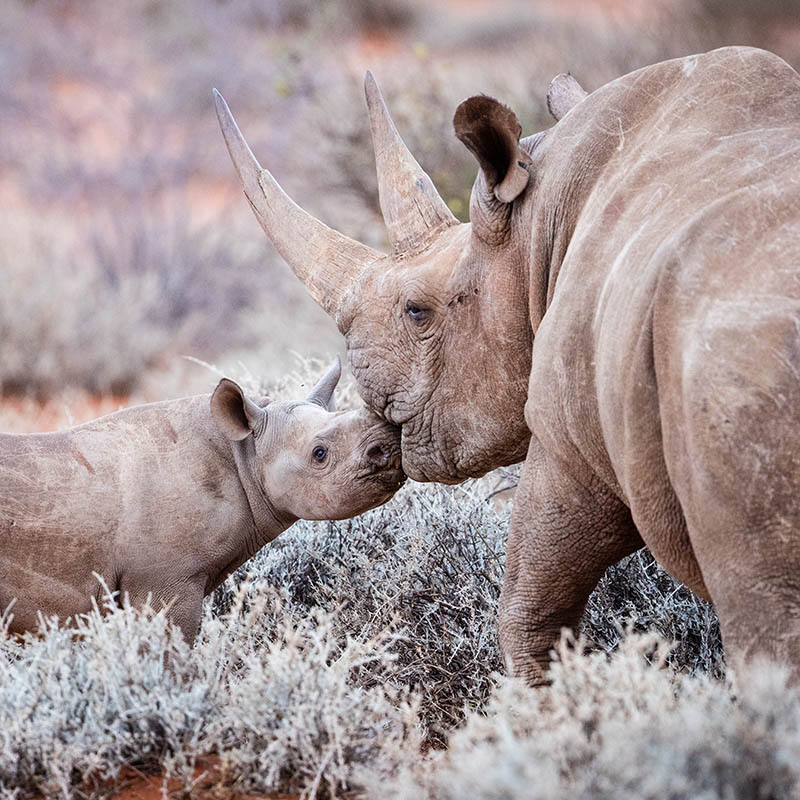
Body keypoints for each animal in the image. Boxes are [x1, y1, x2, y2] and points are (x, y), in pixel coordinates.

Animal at [216, 45, 800, 680]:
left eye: (417, 312)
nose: (371, 398)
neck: (536, 227)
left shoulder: (568, 439)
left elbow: (527, 606)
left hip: (737, 367)